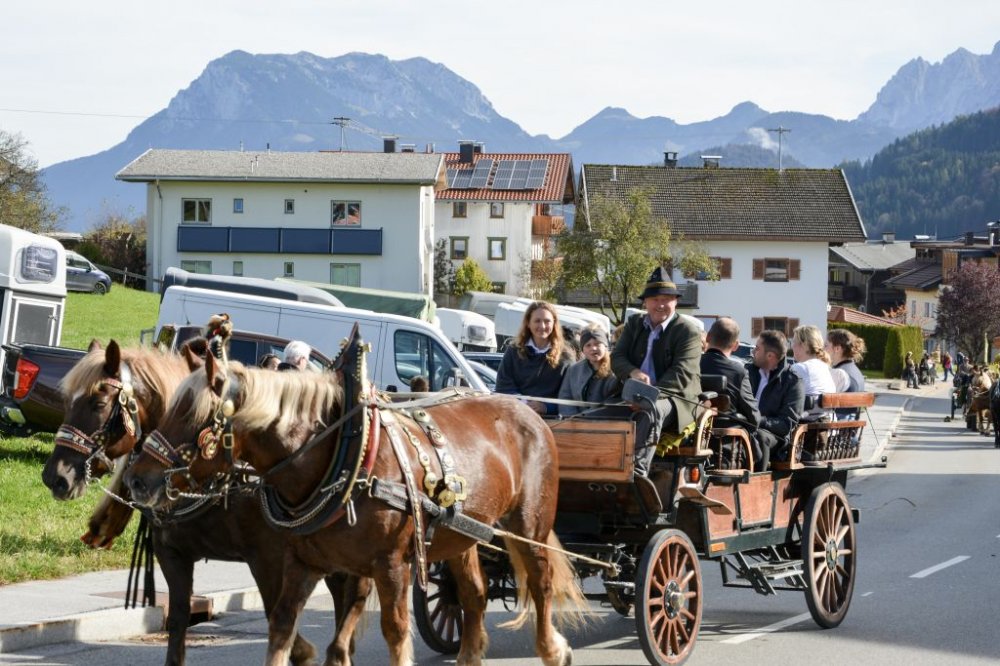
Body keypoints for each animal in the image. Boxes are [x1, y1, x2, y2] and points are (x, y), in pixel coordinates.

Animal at [40, 339, 368, 666]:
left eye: (98, 403)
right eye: (67, 401)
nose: (55, 476)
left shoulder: (268, 557)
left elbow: (278, 615)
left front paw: (304, 652)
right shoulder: (173, 554)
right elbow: (178, 620)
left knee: (357, 593)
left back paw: (340, 651)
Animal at [124, 330, 586, 666]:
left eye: (194, 415)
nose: (137, 479)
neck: (342, 453)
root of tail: (527, 411)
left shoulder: (392, 566)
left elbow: (395, 633)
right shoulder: (302, 562)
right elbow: (282, 626)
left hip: (530, 525)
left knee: (541, 583)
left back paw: (552, 649)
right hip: (461, 533)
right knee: (474, 592)